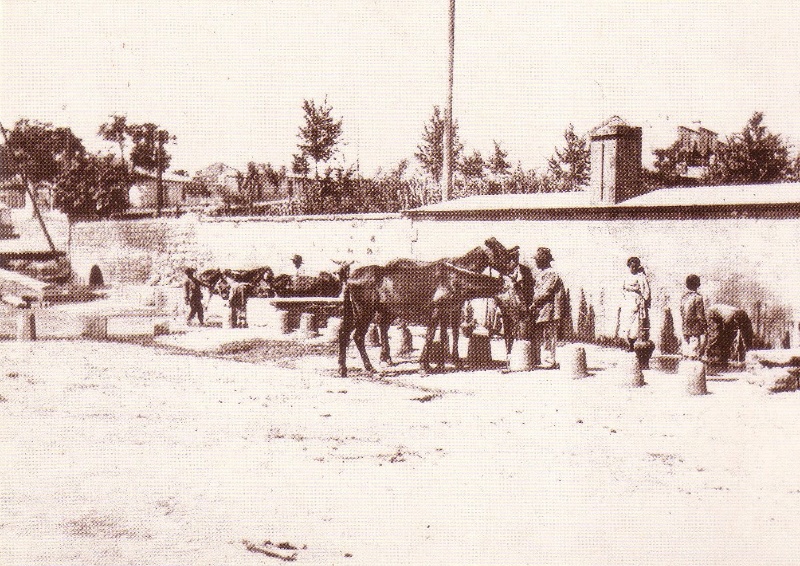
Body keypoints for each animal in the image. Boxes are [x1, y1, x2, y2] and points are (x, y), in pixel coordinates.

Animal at [338, 240, 520, 378]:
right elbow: (432, 335)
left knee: (346, 333)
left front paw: (442, 362)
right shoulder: (437, 312)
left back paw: (344, 368)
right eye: (499, 252)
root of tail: (349, 278)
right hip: (365, 311)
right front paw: (425, 365)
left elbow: (446, 335)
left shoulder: (449, 312)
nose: (513, 267)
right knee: (359, 336)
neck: (455, 280)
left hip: (365, 311)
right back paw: (371, 367)